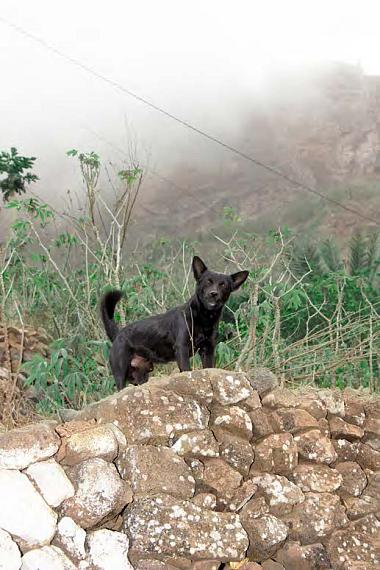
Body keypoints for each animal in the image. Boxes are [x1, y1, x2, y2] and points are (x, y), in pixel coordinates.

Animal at [101, 256, 249, 386]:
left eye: (223, 285)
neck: (204, 317)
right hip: (121, 373)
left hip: (140, 374)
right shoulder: (182, 349)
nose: (213, 293)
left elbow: (208, 367)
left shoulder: (208, 350)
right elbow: (187, 370)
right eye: (208, 281)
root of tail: (118, 334)